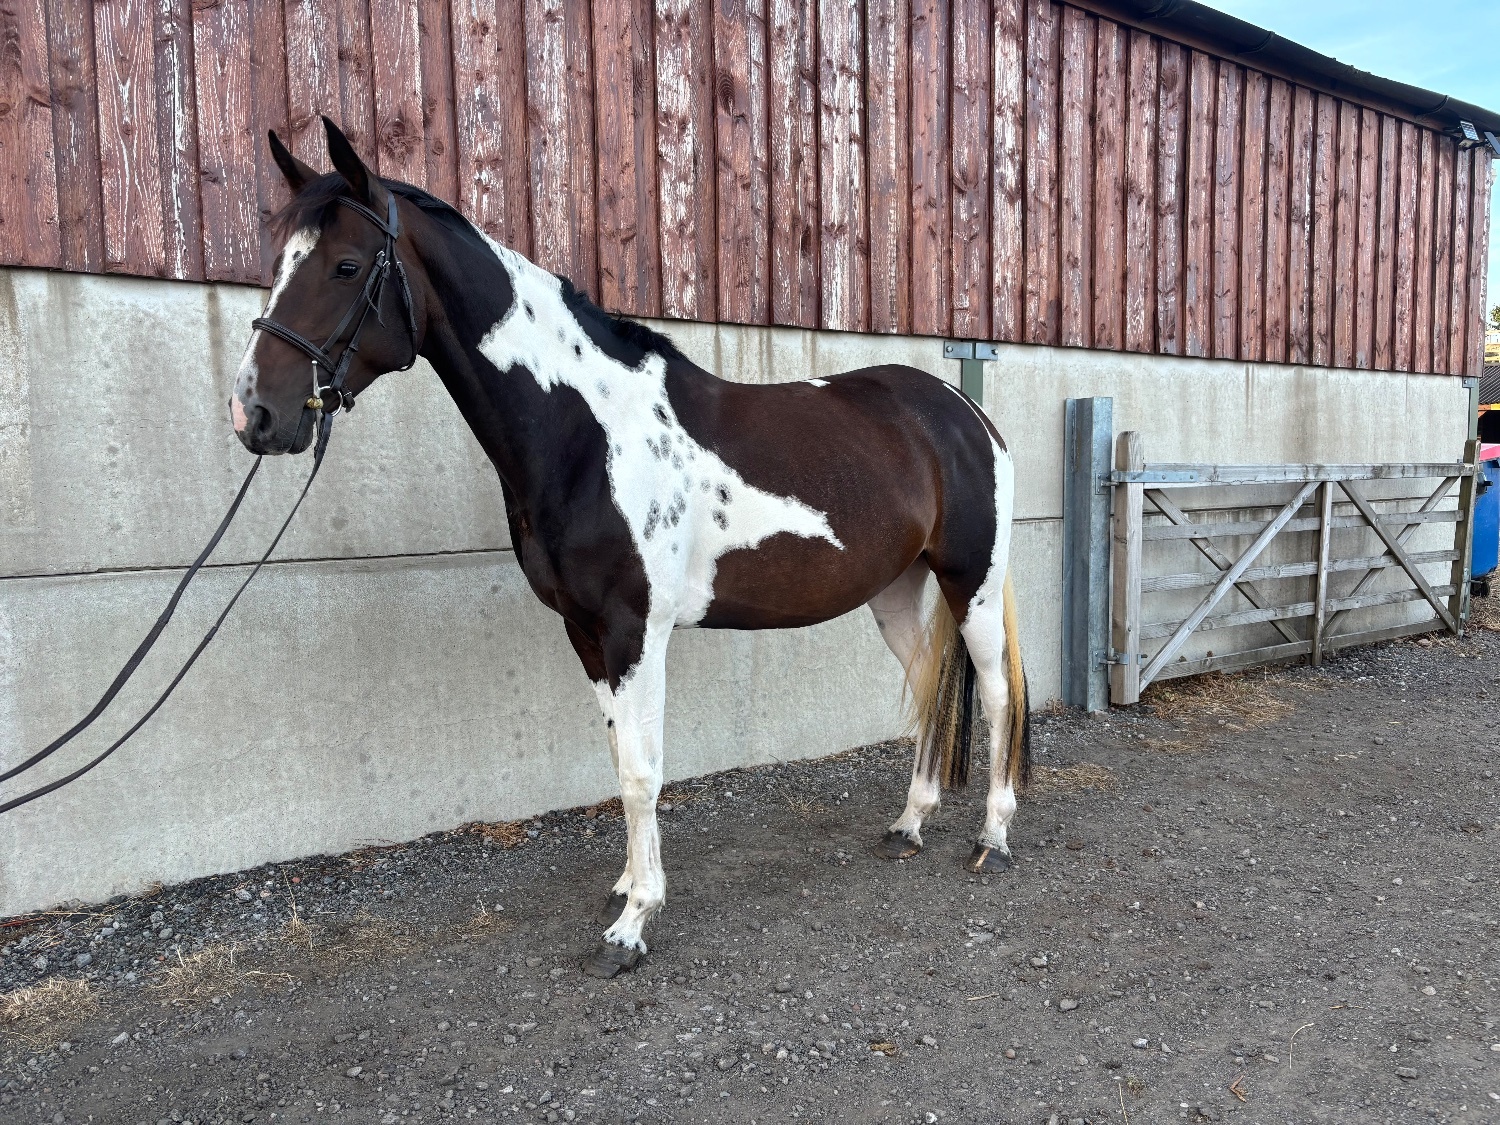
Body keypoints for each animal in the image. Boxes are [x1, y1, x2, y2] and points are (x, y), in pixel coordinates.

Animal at [231, 118, 1030, 978]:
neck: (591, 433)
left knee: (994, 693)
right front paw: (625, 885)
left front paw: (634, 924)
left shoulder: (634, 629)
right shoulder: (585, 633)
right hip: (895, 589)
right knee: (928, 683)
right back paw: (910, 823)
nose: (255, 412)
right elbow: (620, 759)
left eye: (346, 265)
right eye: (277, 262)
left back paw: (993, 837)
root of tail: (964, 413)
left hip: (972, 581)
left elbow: (644, 771)